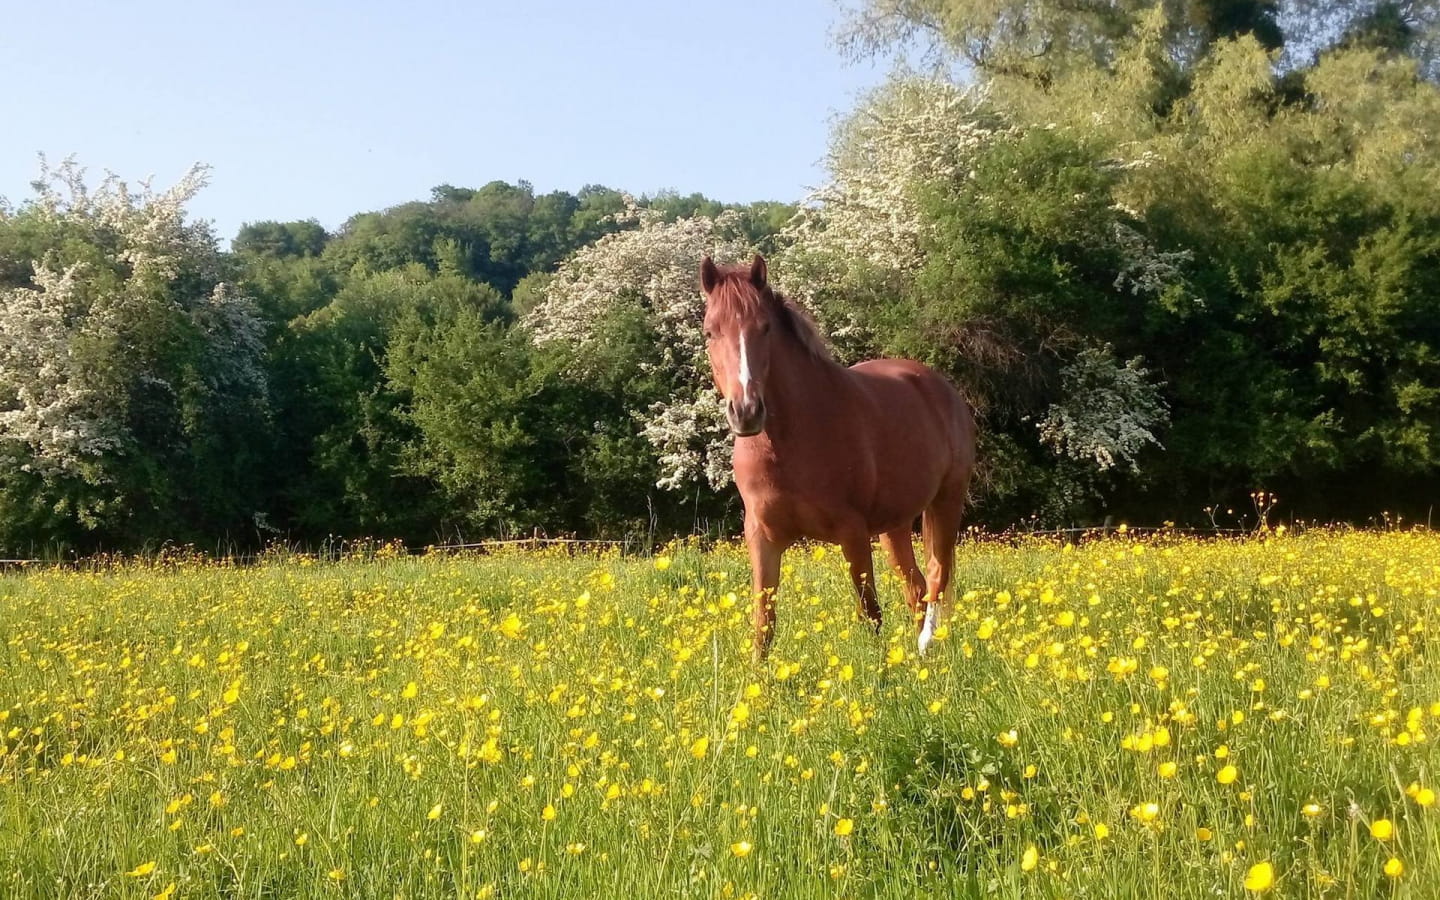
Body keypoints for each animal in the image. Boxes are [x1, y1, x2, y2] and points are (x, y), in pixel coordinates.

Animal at [699, 253, 979, 659]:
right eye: (709, 332)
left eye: (764, 328)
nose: (746, 411)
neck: (786, 444)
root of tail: (939, 387)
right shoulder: (761, 536)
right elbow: (763, 623)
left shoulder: (853, 533)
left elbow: (869, 612)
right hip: (894, 525)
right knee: (916, 588)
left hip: (946, 501)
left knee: (936, 578)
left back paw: (926, 645)